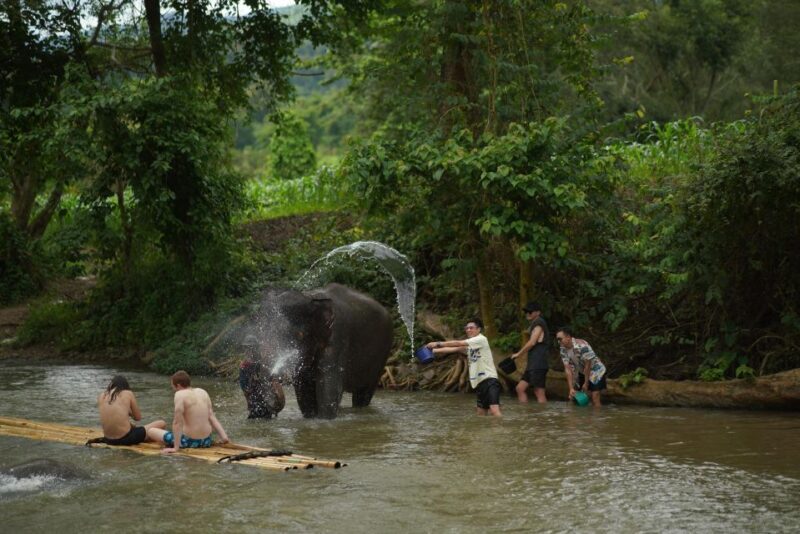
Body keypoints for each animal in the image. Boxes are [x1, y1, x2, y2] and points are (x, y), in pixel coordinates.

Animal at [242, 283, 393, 419]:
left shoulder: (337, 339)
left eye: (293, 335)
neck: (311, 298)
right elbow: (304, 391)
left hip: (382, 354)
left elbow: (328, 393)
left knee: (363, 394)